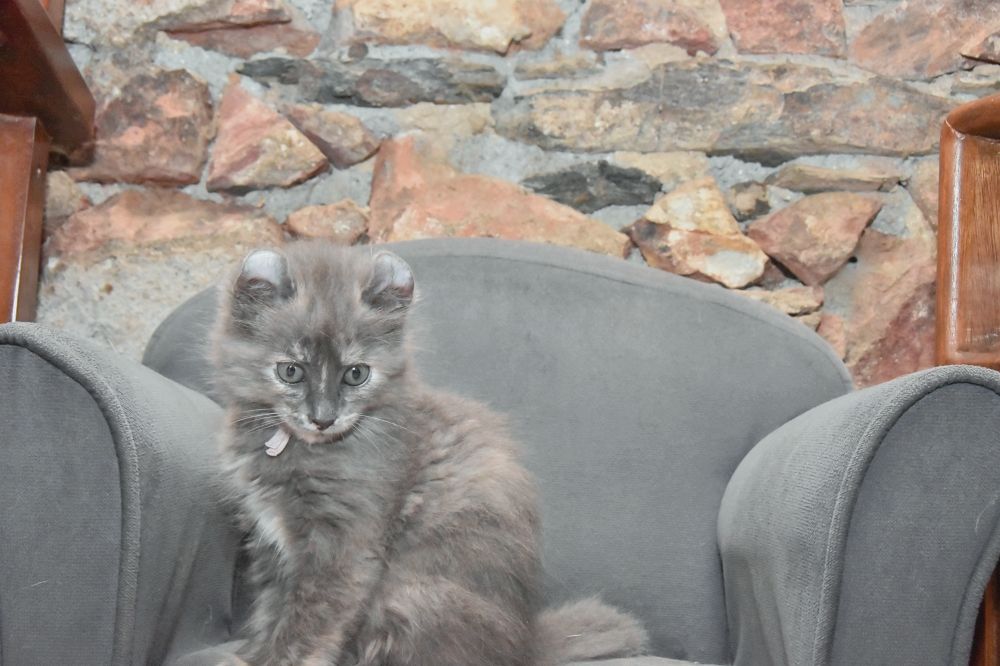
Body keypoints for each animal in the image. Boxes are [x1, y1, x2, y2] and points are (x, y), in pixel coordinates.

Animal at [211, 241, 648, 666]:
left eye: (356, 374)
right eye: (291, 371)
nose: (323, 418)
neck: (299, 449)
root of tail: (526, 646)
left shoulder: (344, 547)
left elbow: (307, 622)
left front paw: (276, 658)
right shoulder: (270, 544)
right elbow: (271, 611)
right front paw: (252, 654)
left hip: (413, 595)